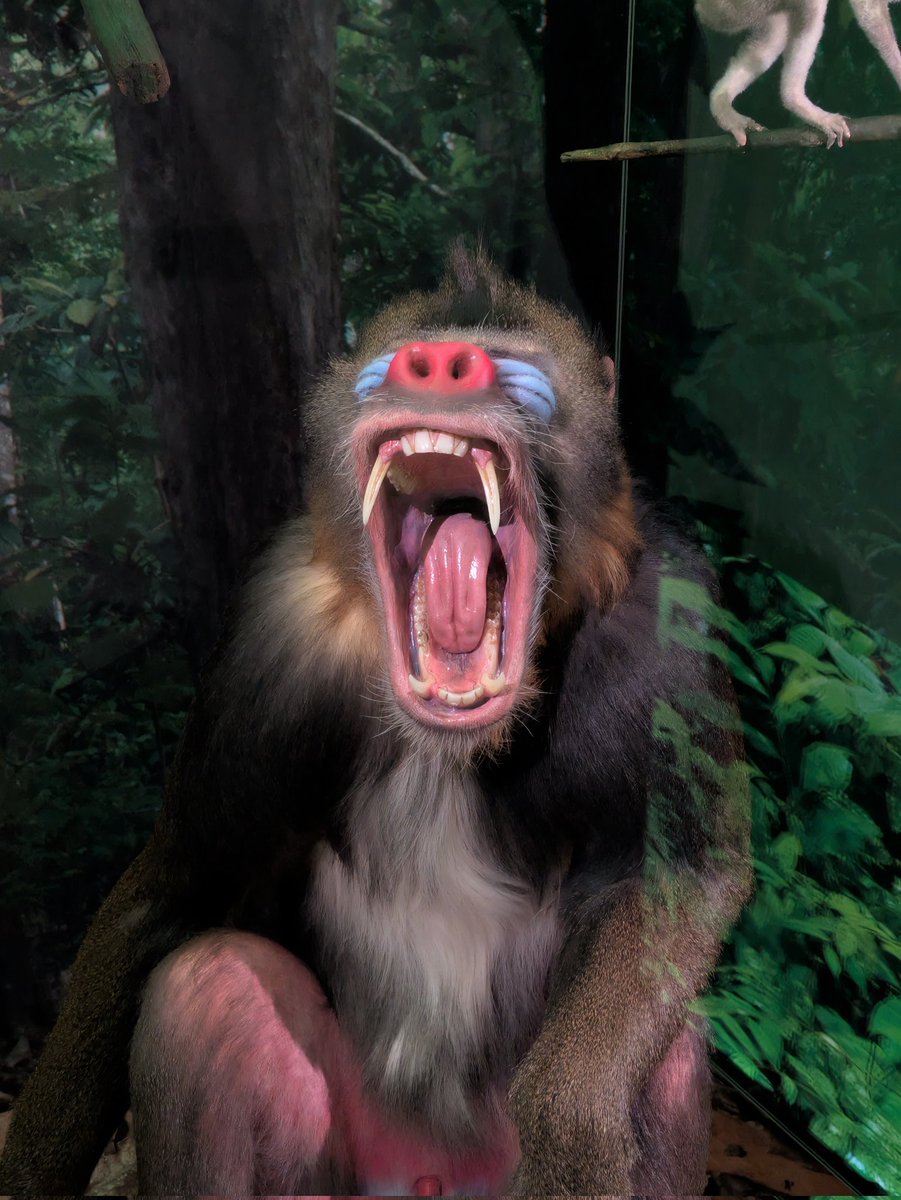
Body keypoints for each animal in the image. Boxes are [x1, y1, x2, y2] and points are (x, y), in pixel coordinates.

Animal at [0, 247, 751, 1196]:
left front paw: (571, 1132)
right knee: (208, 990)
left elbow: (680, 878)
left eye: (513, 368)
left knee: (671, 1057)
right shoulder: (270, 643)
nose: (436, 364)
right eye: (401, 358)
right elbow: (171, 887)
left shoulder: (668, 633)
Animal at [696, 0, 901, 145]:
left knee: (776, 32)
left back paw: (721, 102)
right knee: (813, 5)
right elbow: (868, 6)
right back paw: (798, 102)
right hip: (725, 8)